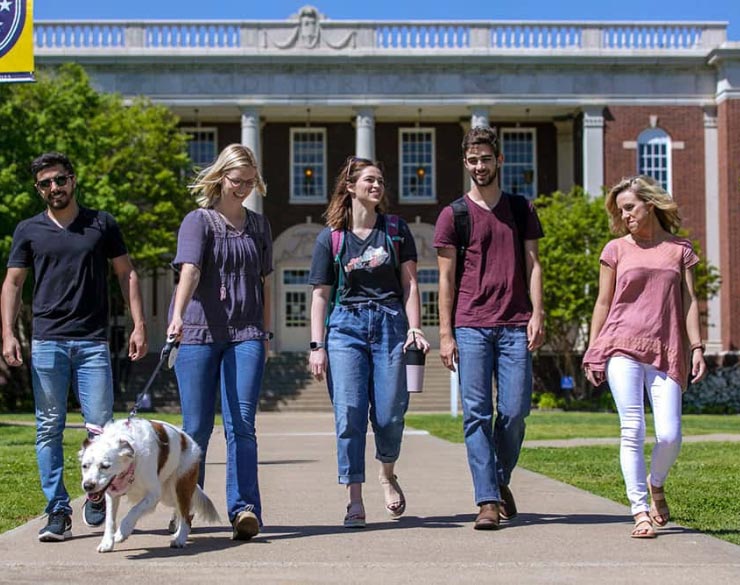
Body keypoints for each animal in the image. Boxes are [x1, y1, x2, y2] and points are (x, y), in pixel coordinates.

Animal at [80, 418, 221, 548]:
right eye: (84, 466)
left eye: (105, 466)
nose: (88, 486)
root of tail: (191, 442)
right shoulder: (112, 494)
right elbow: (110, 520)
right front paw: (107, 543)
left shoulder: (154, 494)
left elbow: (133, 511)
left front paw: (122, 533)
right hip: (168, 495)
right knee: (184, 510)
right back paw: (178, 533)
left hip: (178, 487)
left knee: (186, 514)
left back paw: (180, 539)